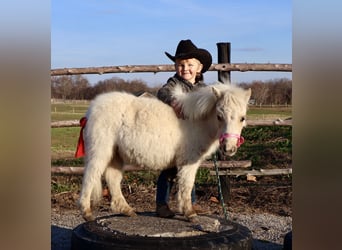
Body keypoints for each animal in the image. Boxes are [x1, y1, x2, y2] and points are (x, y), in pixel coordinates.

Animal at [78, 82, 251, 221]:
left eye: (242, 118)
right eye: (219, 116)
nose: (229, 148)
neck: (197, 122)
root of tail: (91, 110)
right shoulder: (188, 162)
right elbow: (187, 185)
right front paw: (190, 214)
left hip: (115, 154)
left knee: (113, 179)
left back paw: (126, 210)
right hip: (100, 152)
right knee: (90, 176)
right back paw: (86, 213)